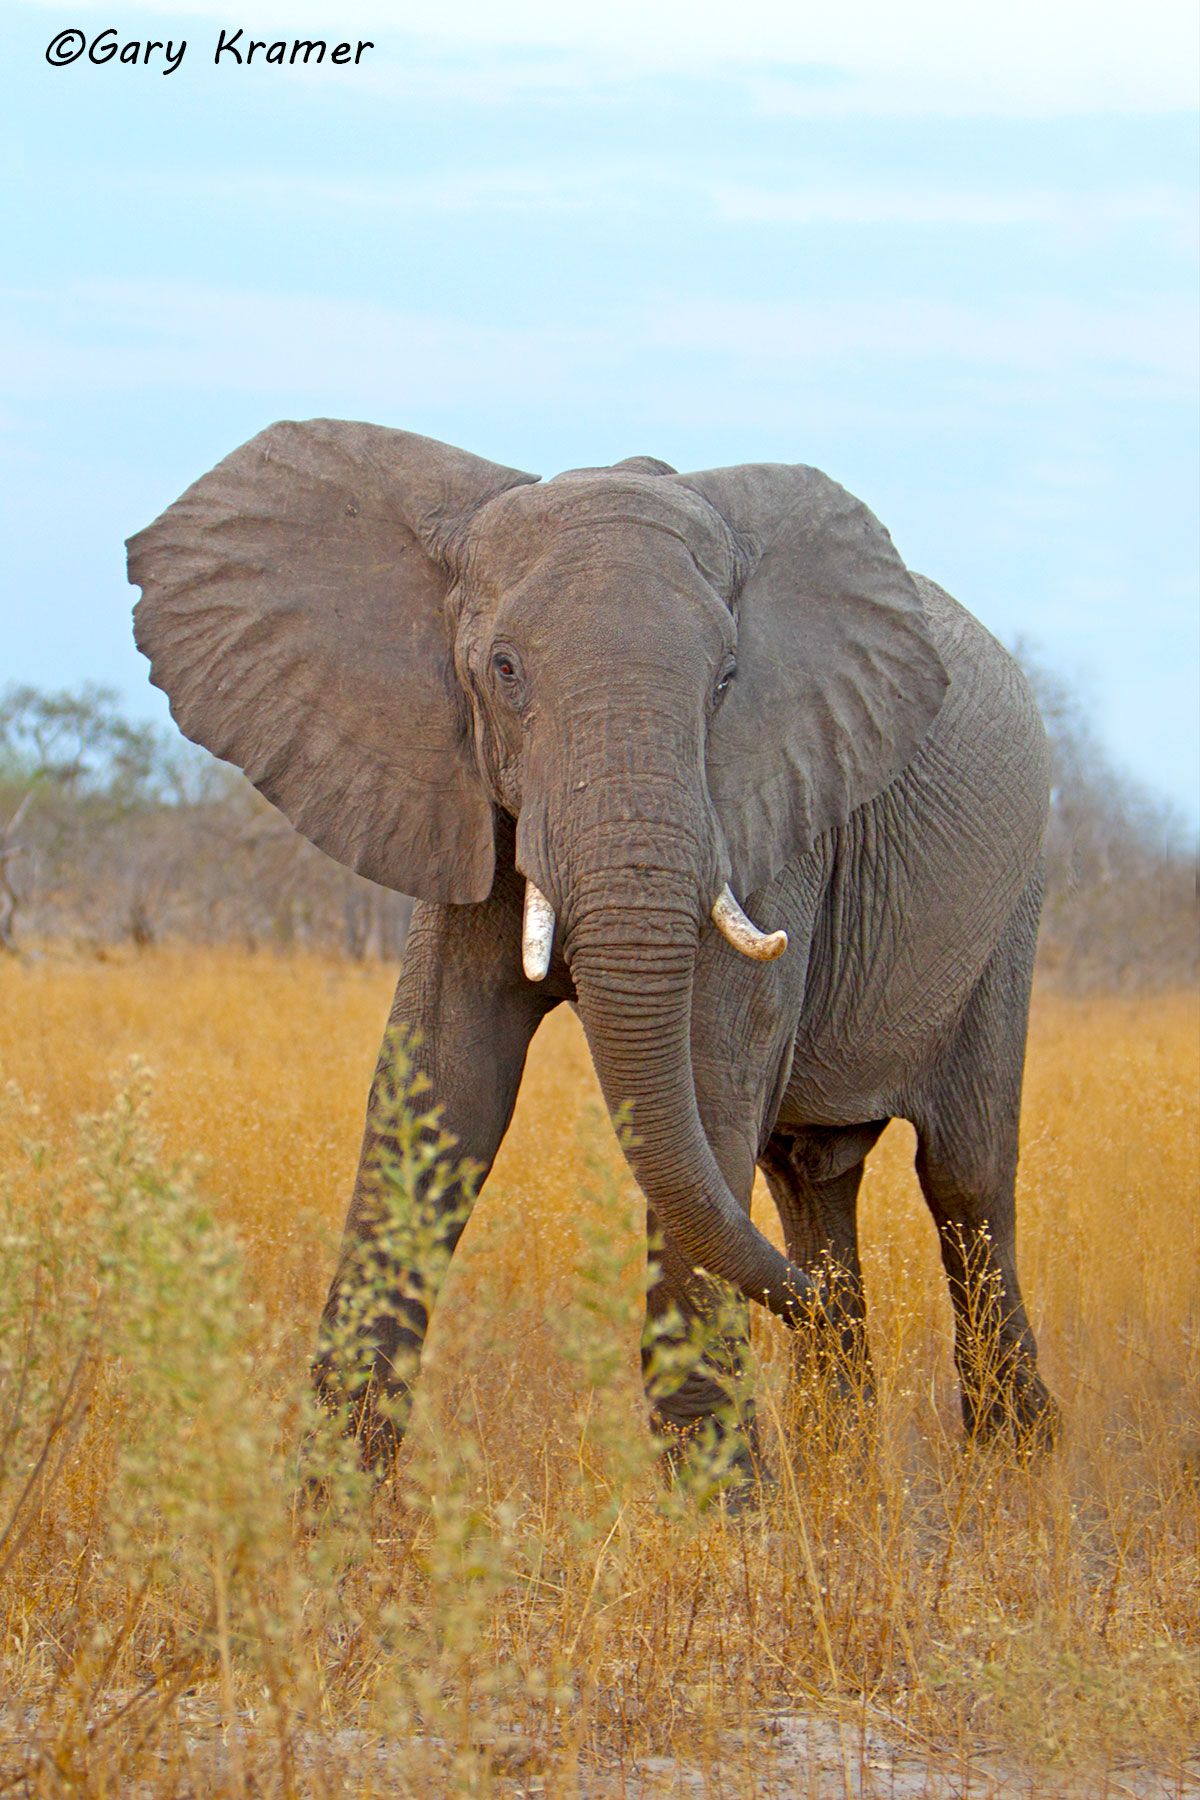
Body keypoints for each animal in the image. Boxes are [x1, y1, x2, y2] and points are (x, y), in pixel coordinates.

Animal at [127, 419, 1057, 1475]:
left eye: (727, 682)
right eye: (502, 669)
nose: (811, 1312)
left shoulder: (775, 808)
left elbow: (712, 1079)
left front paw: (725, 1509)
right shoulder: (463, 790)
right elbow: (443, 1084)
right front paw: (327, 1506)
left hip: (1013, 901)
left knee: (965, 1178)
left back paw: (1013, 1461)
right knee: (812, 1179)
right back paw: (843, 1443)